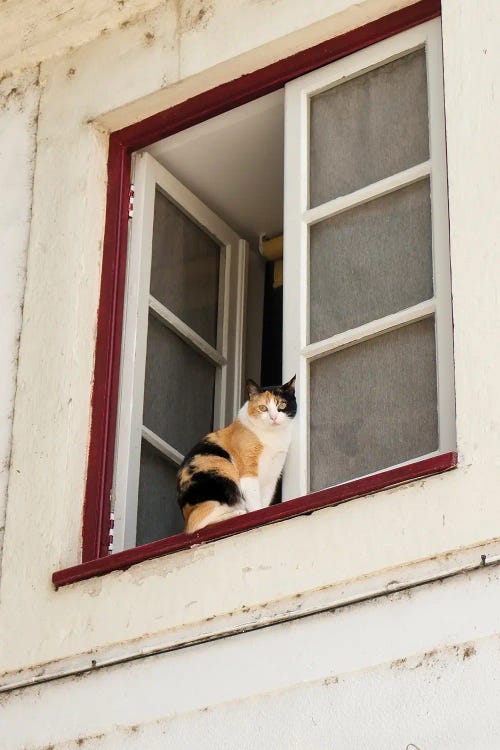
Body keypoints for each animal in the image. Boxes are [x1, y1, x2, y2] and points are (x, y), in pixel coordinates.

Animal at [177, 376, 296, 536]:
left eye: (282, 404)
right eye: (262, 408)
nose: (273, 417)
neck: (272, 436)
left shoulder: (272, 475)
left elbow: (264, 500)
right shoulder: (248, 472)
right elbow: (255, 501)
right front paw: (256, 514)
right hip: (222, 466)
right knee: (196, 524)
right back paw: (237, 513)